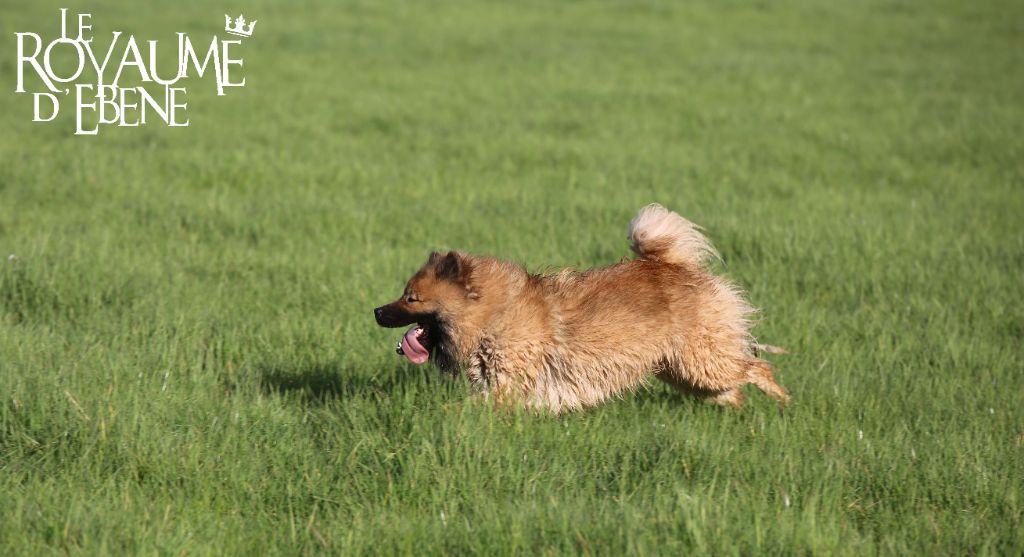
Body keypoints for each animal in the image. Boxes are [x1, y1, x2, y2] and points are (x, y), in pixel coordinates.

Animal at [372, 204, 786, 413]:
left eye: (410, 298)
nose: (375, 311)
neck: (493, 316)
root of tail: (677, 265)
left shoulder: (506, 386)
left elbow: (460, 409)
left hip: (702, 361)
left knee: (757, 367)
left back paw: (784, 403)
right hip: (681, 371)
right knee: (733, 388)